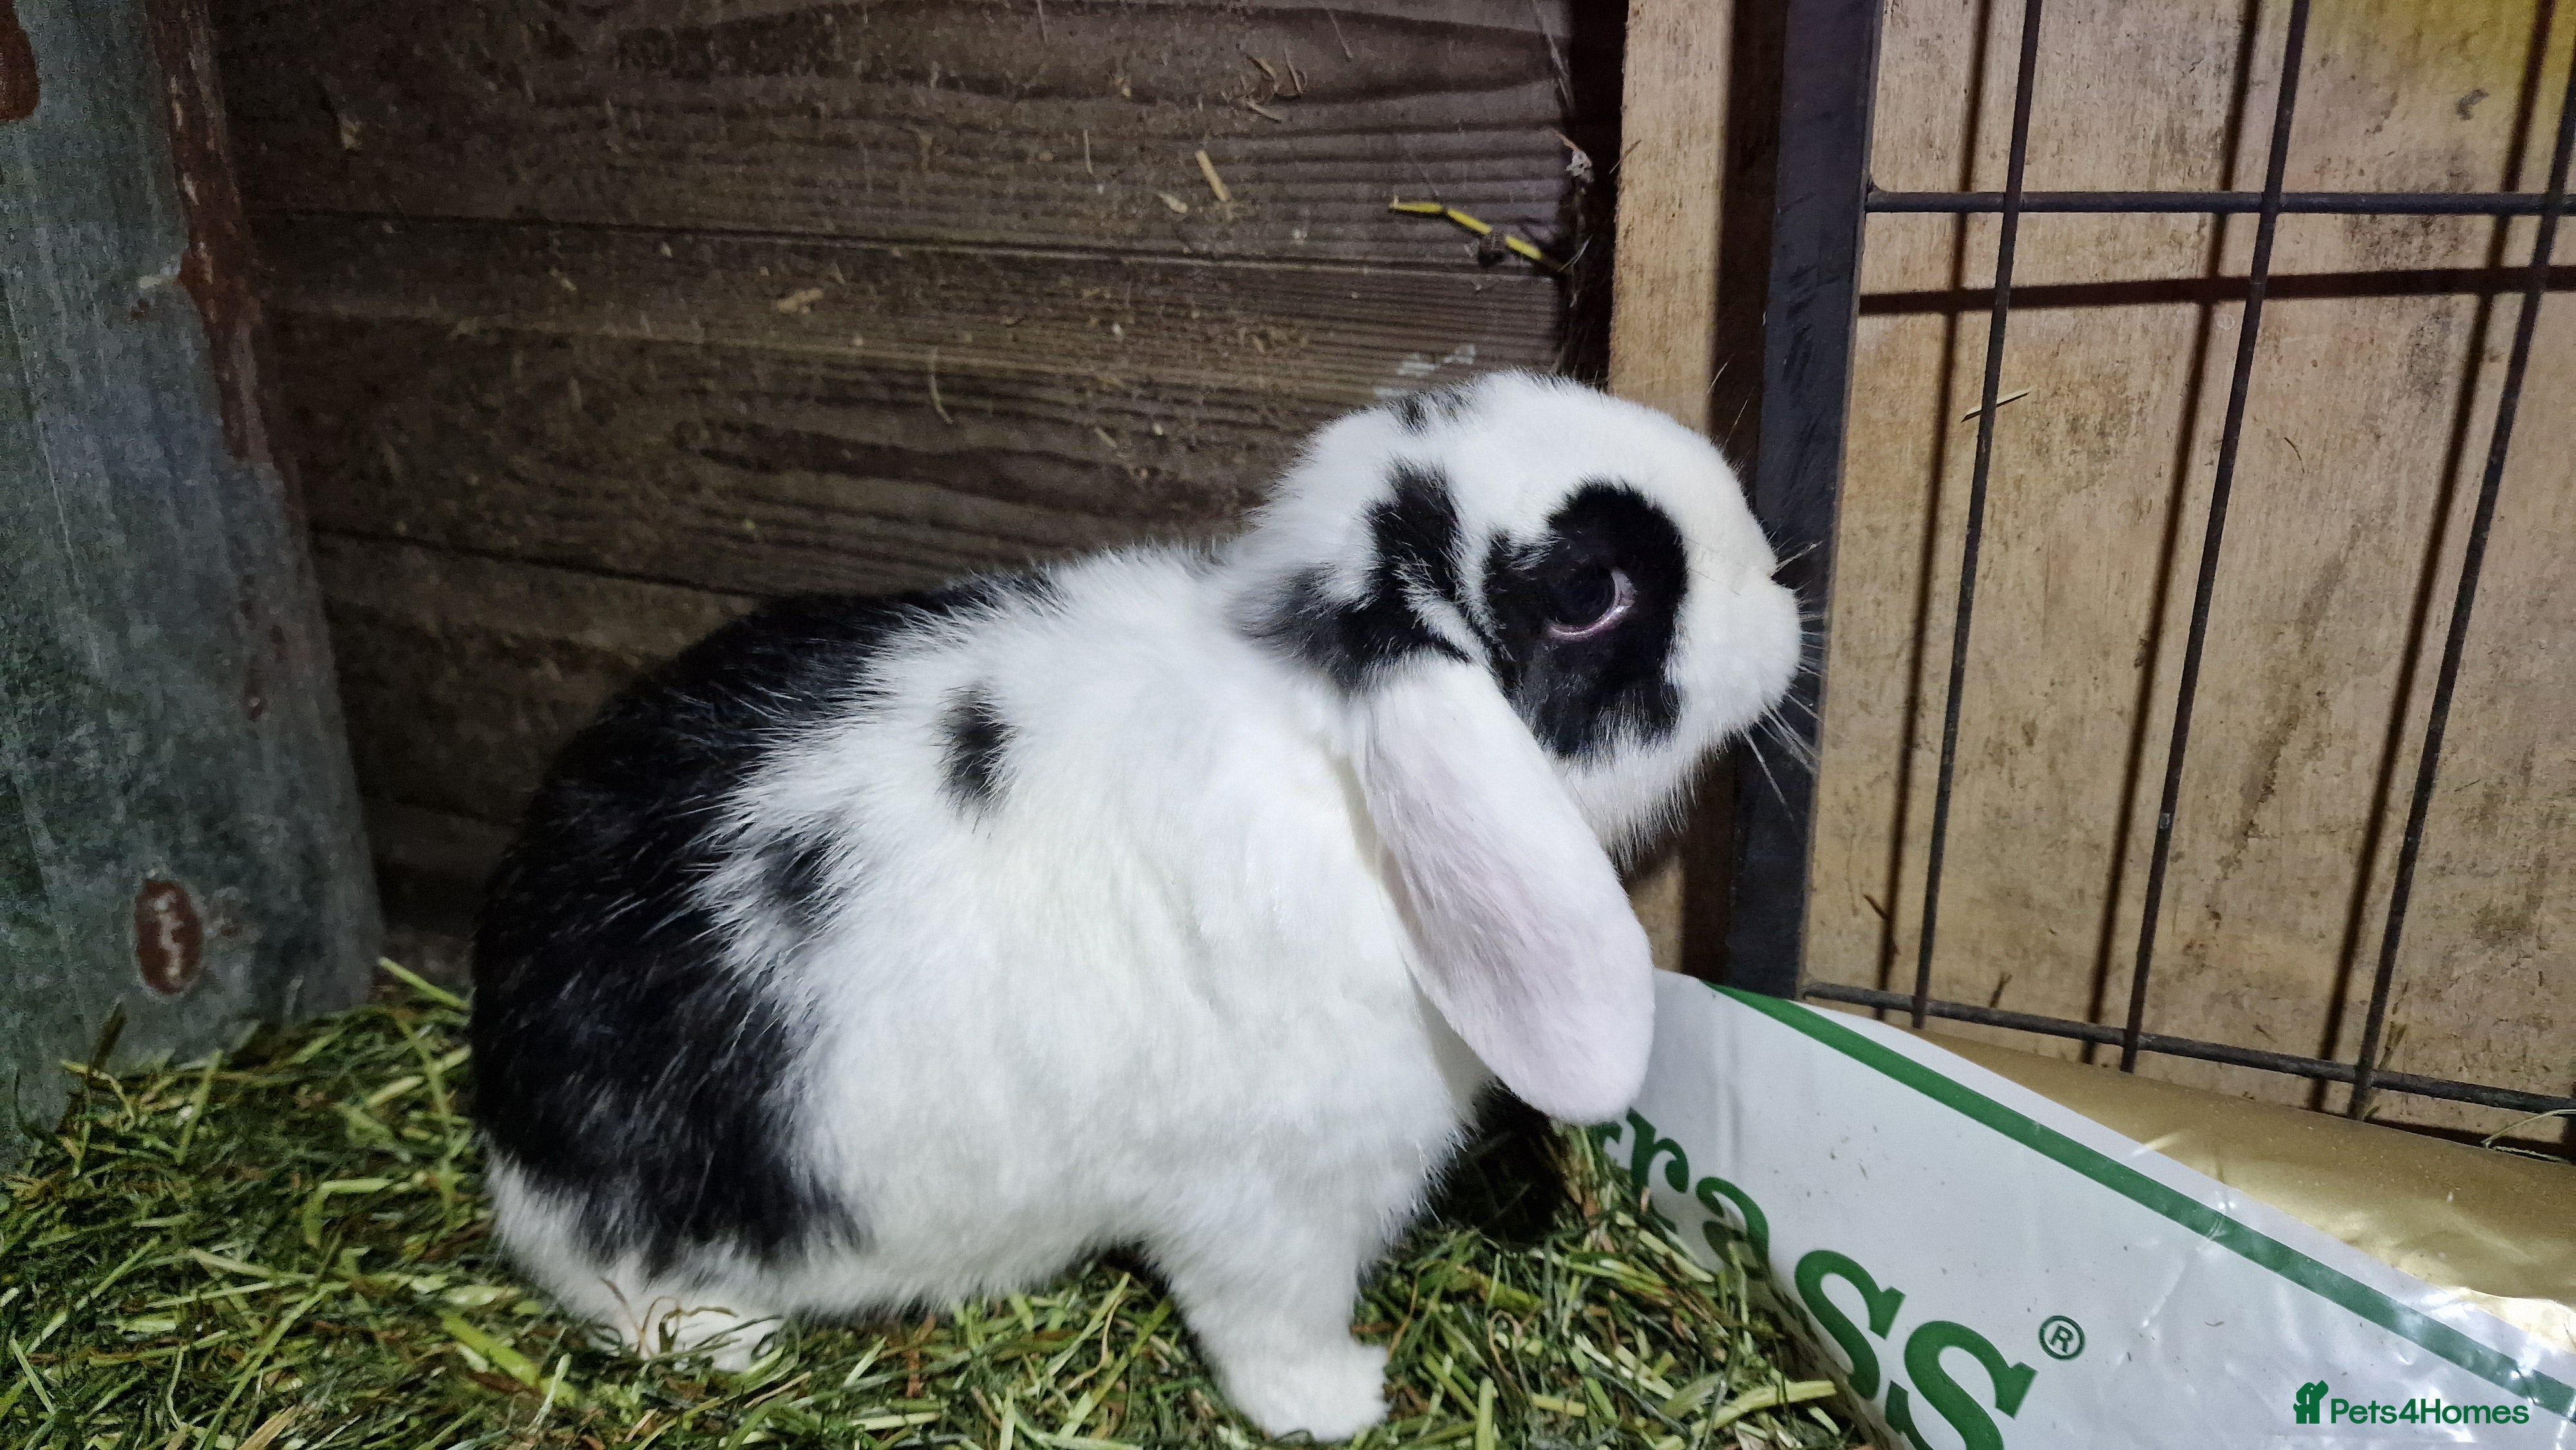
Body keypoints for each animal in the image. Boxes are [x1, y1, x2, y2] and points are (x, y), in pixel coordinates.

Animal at [467, 371, 1803, 1441]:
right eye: (1589, 590)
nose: (1783, 594)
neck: (1329, 767)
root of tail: (501, 1097)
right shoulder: (1274, 1206)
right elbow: (1268, 1324)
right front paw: (1340, 1403)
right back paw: (725, 1336)